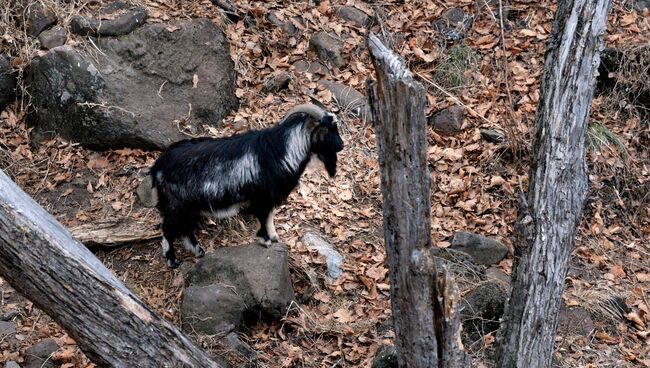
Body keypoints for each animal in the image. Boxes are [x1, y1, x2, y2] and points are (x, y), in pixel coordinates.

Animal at [151, 103, 344, 268]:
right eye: (327, 128)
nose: (342, 145)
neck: (283, 151)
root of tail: (158, 165)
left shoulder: (270, 198)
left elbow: (270, 216)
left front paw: (274, 237)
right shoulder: (263, 197)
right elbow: (263, 217)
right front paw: (265, 240)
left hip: (187, 206)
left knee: (184, 228)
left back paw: (198, 251)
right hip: (176, 204)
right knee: (168, 229)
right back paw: (172, 260)